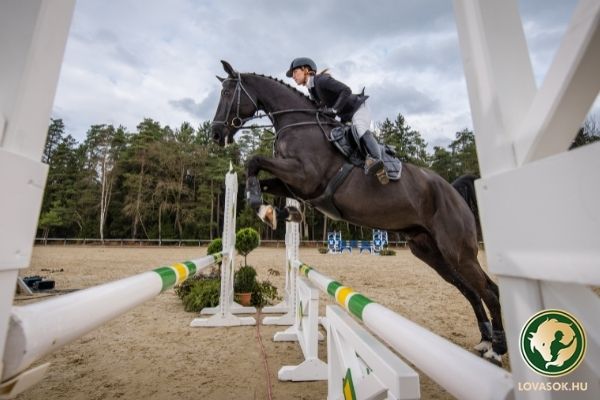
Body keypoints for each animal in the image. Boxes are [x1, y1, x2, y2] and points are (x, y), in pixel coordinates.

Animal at [211, 61, 506, 364]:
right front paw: (277, 212)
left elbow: (253, 161)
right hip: (430, 251)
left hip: (457, 249)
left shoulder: (305, 176)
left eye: (226, 93)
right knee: (471, 290)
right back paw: (485, 340)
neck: (297, 124)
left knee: (490, 291)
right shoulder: (297, 185)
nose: (215, 134)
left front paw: (267, 208)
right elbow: (258, 177)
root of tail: (453, 192)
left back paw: (497, 349)